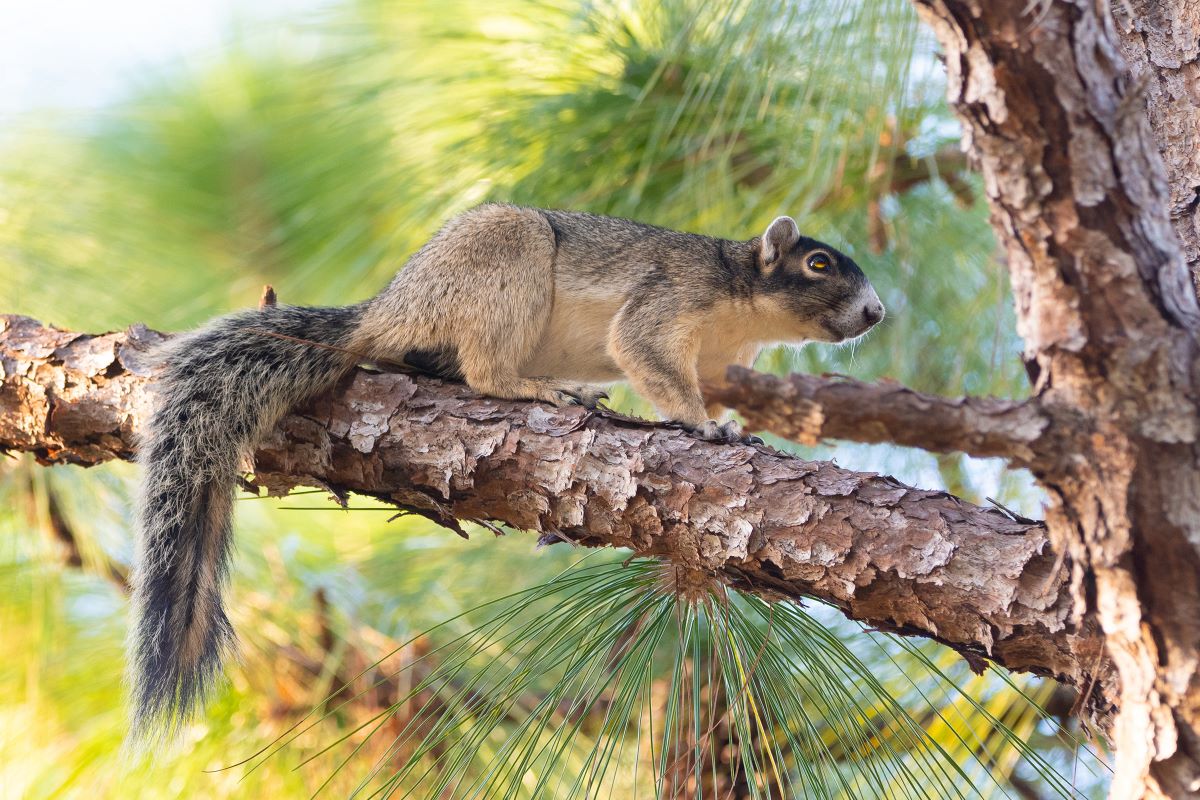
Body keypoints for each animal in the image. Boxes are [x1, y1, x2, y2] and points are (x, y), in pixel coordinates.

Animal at [129, 203, 883, 743]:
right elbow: (647, 356)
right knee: (483, 370)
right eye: (818, 262)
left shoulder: (724, 359)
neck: (740, 300)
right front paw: (705, 426)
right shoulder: (670, 300)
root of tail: (383, 311)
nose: (877, 312)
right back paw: (544, 388)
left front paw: (731, 423)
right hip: (502, 259)